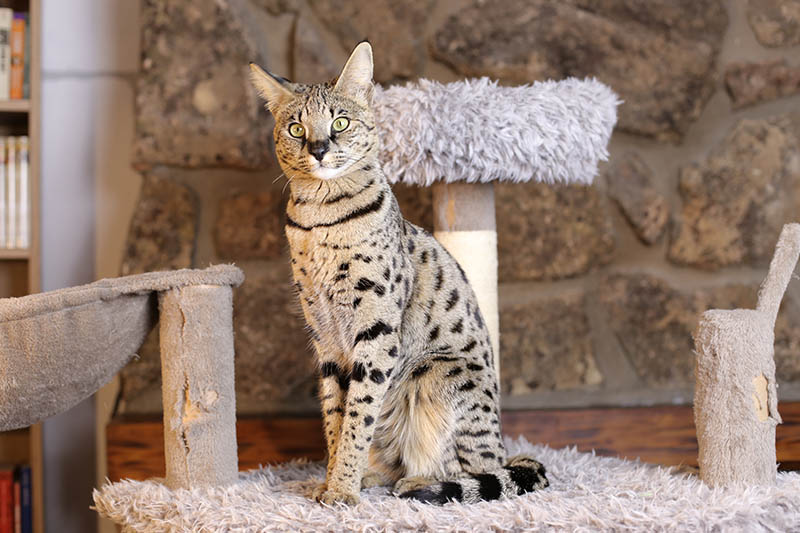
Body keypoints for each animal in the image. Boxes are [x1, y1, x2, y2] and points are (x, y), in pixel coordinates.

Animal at [250, 41, 552, 502]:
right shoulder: (325, 339)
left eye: (340, 123)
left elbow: (357, 418)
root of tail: (504, 446)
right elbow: (335, 417)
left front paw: (342, 490)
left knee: (477, 468)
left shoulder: (375, 332)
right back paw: (377, 476)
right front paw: (333, 480)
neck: (319, 216)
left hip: (437, 373)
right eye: (297, 129)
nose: (318, 149)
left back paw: (419, 482)